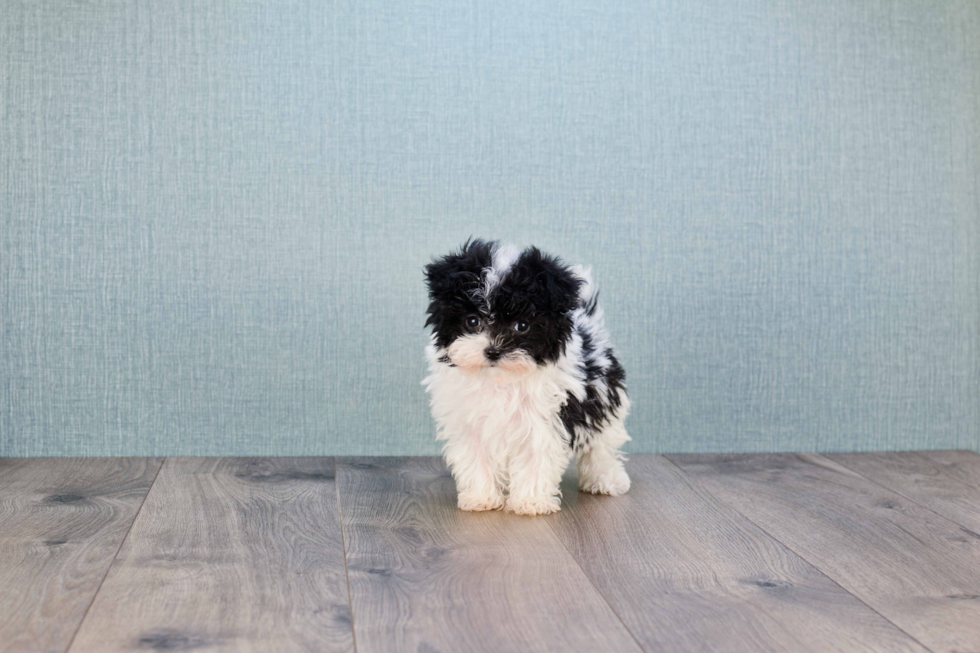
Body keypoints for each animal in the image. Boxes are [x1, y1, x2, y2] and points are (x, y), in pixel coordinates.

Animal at [420, 239, 632, 516]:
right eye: (472, 321)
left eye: (522, 326)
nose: (493, 351)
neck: (500, 380)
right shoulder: (469, 422)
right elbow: (477, 457)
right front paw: (481, 497)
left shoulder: (545, 419)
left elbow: (536, 455)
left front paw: (531, 502)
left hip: (604, 400)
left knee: (602, 444)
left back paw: (606, 479)